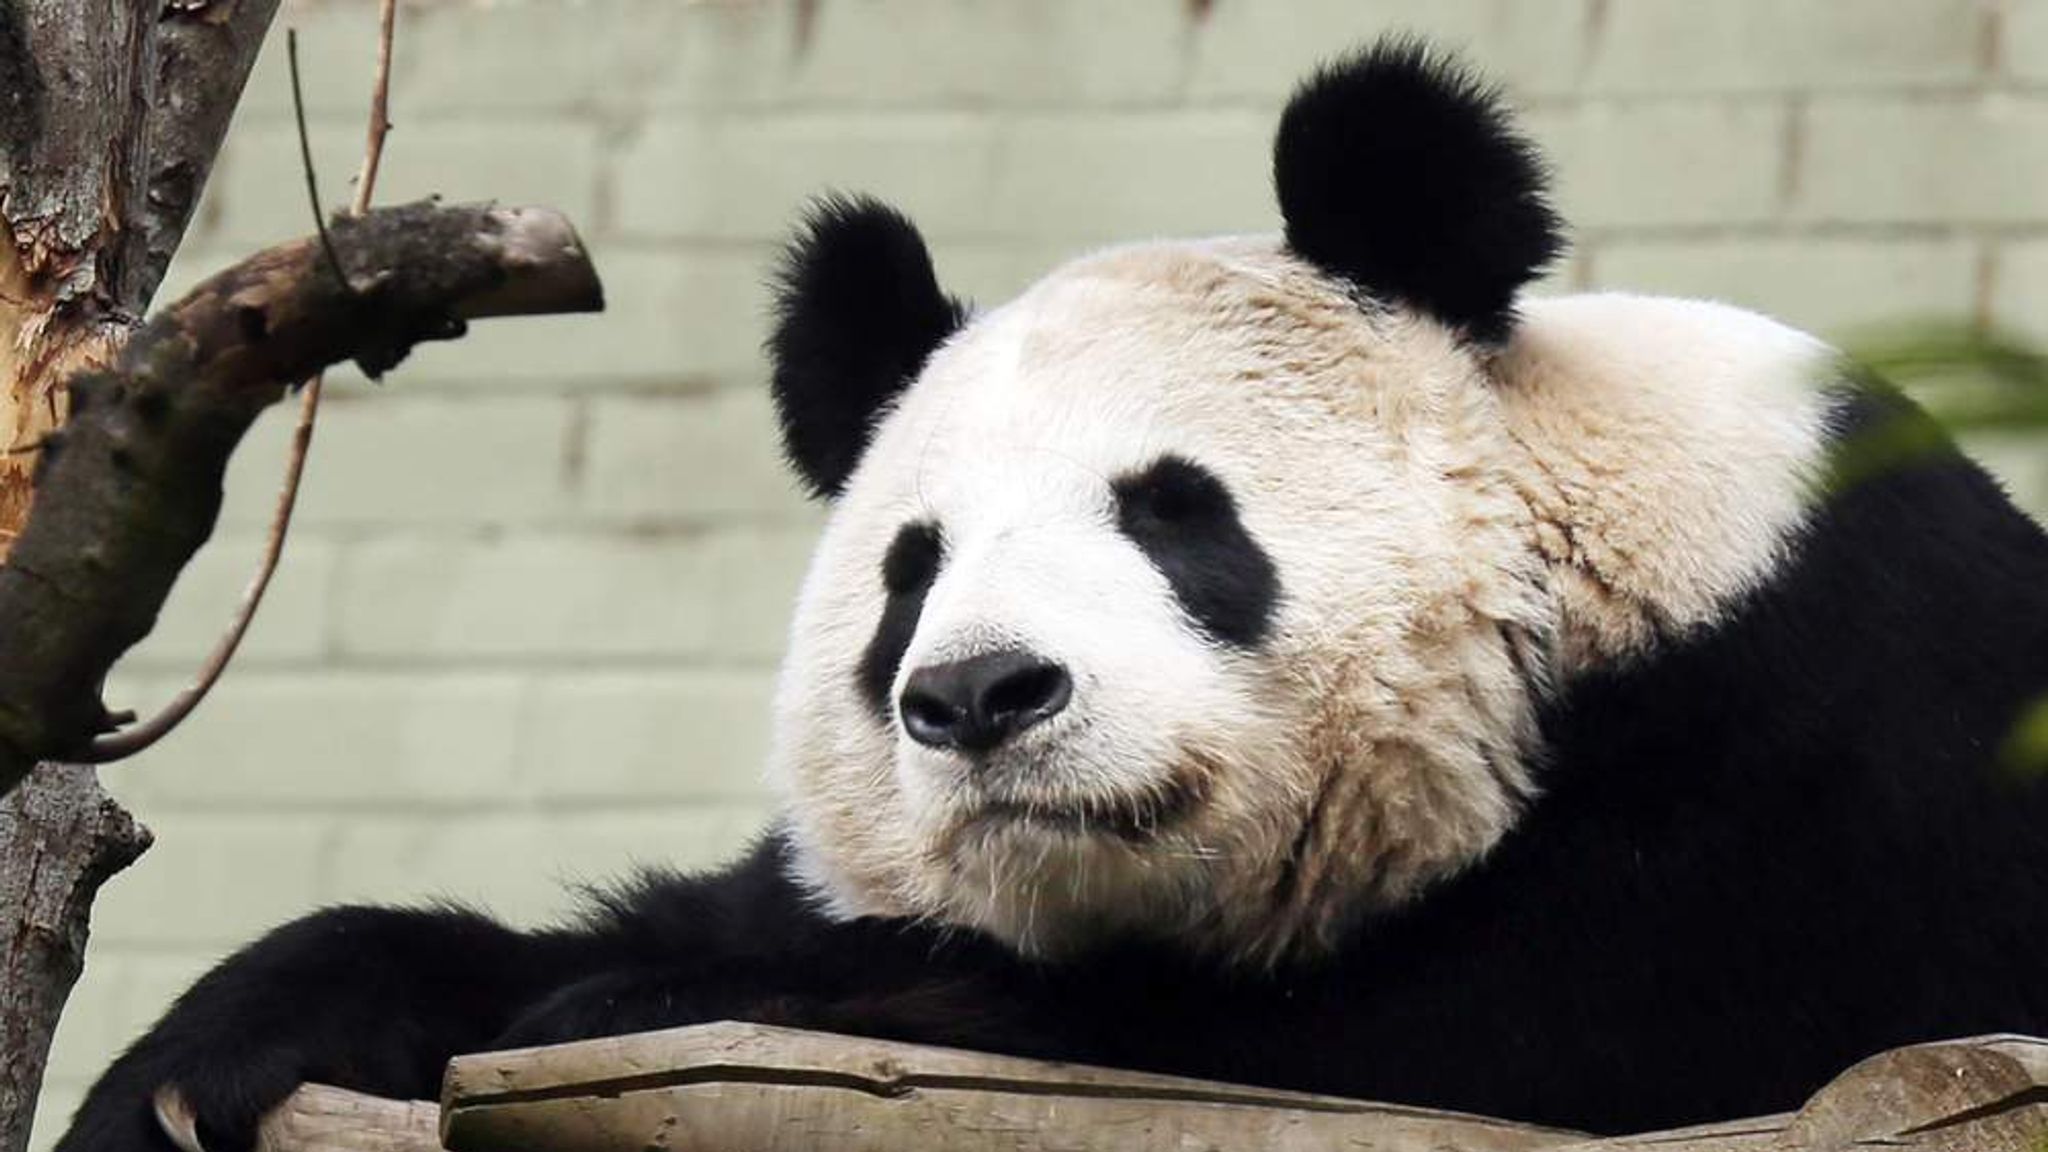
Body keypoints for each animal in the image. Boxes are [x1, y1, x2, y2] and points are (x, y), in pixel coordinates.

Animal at [56, 38, 2048, 1147]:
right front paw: (197, 1066)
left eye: (1178, 515)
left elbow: (1488, 1030)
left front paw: (632, 1008)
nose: (977, 697)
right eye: (907, 579)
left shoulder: (1827, 740)